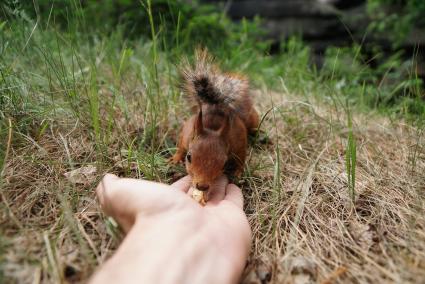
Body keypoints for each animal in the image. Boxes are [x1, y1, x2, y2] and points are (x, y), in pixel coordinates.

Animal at [170, 48, 258, 195]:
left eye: (224, 163)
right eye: (189, 157)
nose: (202, 186)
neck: (212, 127)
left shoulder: (239, 141)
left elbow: (241, 159)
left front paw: (238, 172)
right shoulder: (186, 134)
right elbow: (180, 147)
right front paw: (175, 159)